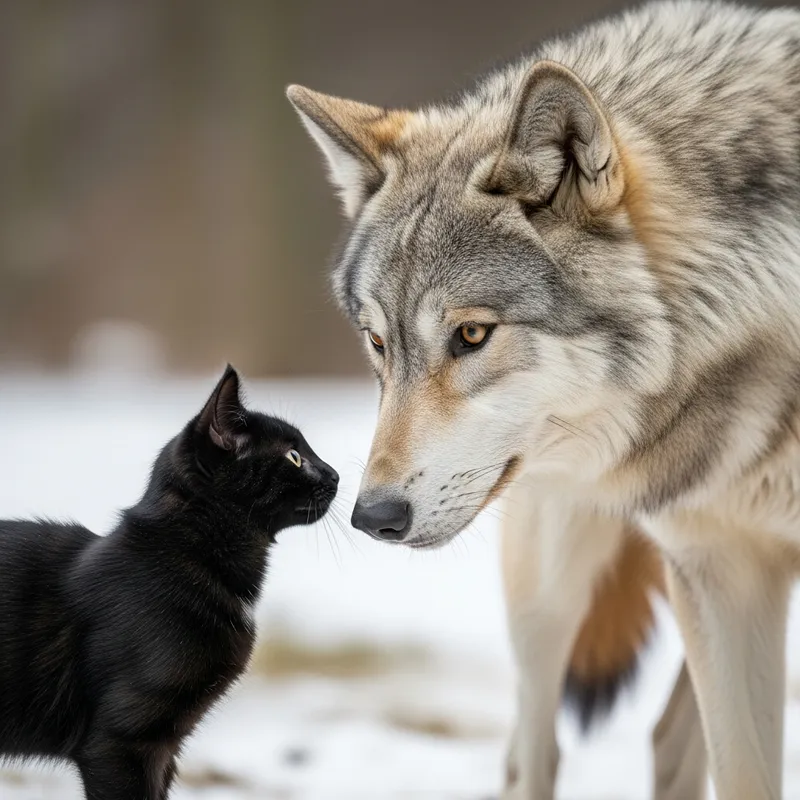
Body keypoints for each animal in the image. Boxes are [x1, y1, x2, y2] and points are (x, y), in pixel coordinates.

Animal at [288, 1, 800, 797]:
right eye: (377, 343)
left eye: (471, 334)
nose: (373, 517)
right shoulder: (719, 569)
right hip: (551, 582)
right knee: (535, 750)